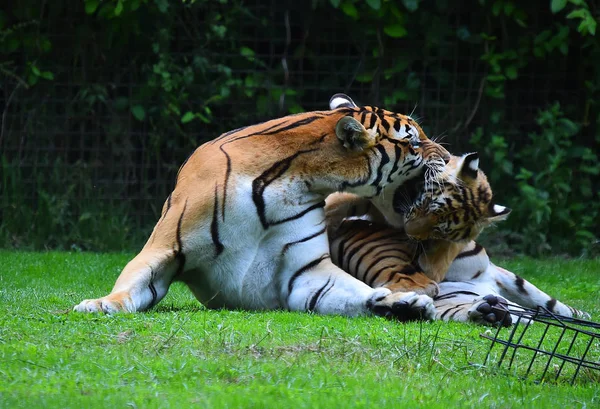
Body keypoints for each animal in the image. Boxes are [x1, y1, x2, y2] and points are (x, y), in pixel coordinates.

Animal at [72, 93, 450, 318]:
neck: (300, 178)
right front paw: (101, 303)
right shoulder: (163, 248)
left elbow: (351, 291)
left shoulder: (304, 272)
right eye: (414, 143)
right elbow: (132, 282)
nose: (448, 157)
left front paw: (400, 302)